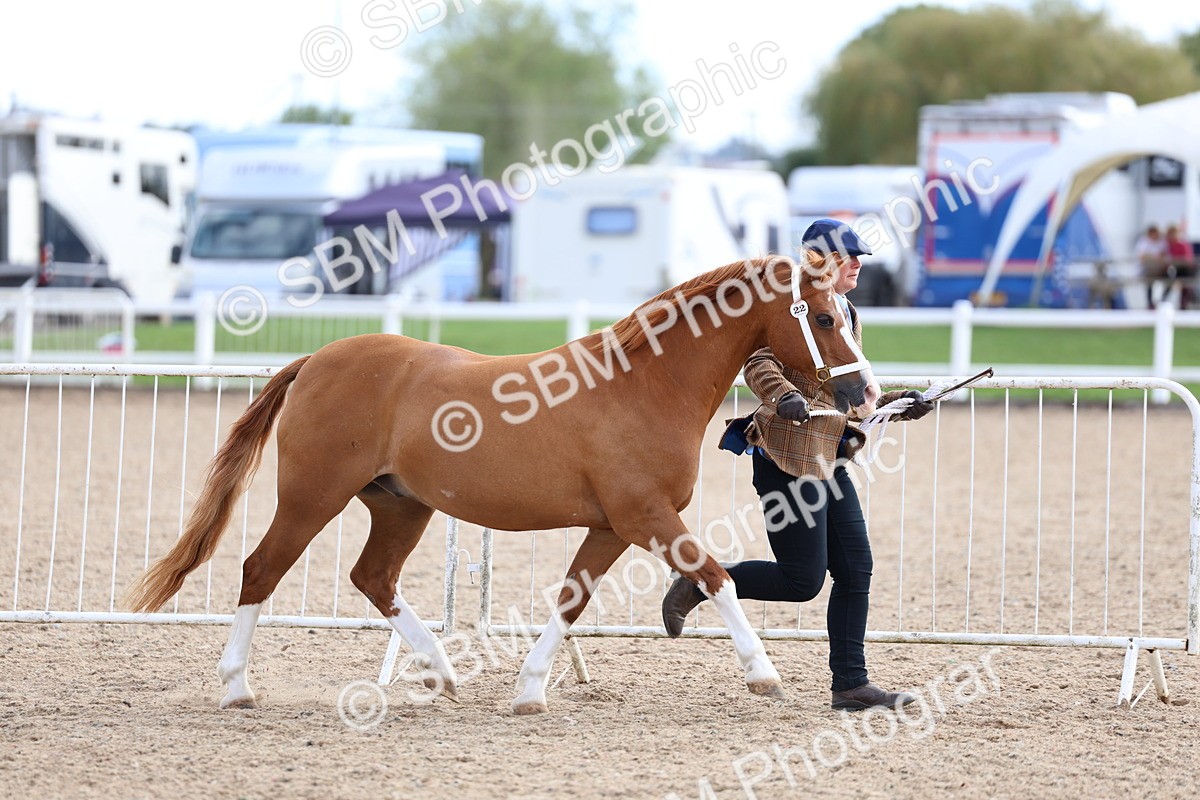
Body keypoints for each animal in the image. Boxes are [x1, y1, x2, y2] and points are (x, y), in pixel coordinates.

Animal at [125, 254, 879, 714]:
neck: (642, 386)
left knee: (373, 578)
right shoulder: (645, 517)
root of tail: (317, 360)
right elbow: (717, 576)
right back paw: (236, 688)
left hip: (400, 507)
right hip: (313, 497)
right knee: (261, 570)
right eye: (823, 317)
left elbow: (572, 598)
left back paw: (441, 672)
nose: (865, 394)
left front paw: (529, 689)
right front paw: (764, 674)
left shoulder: (611, 526)